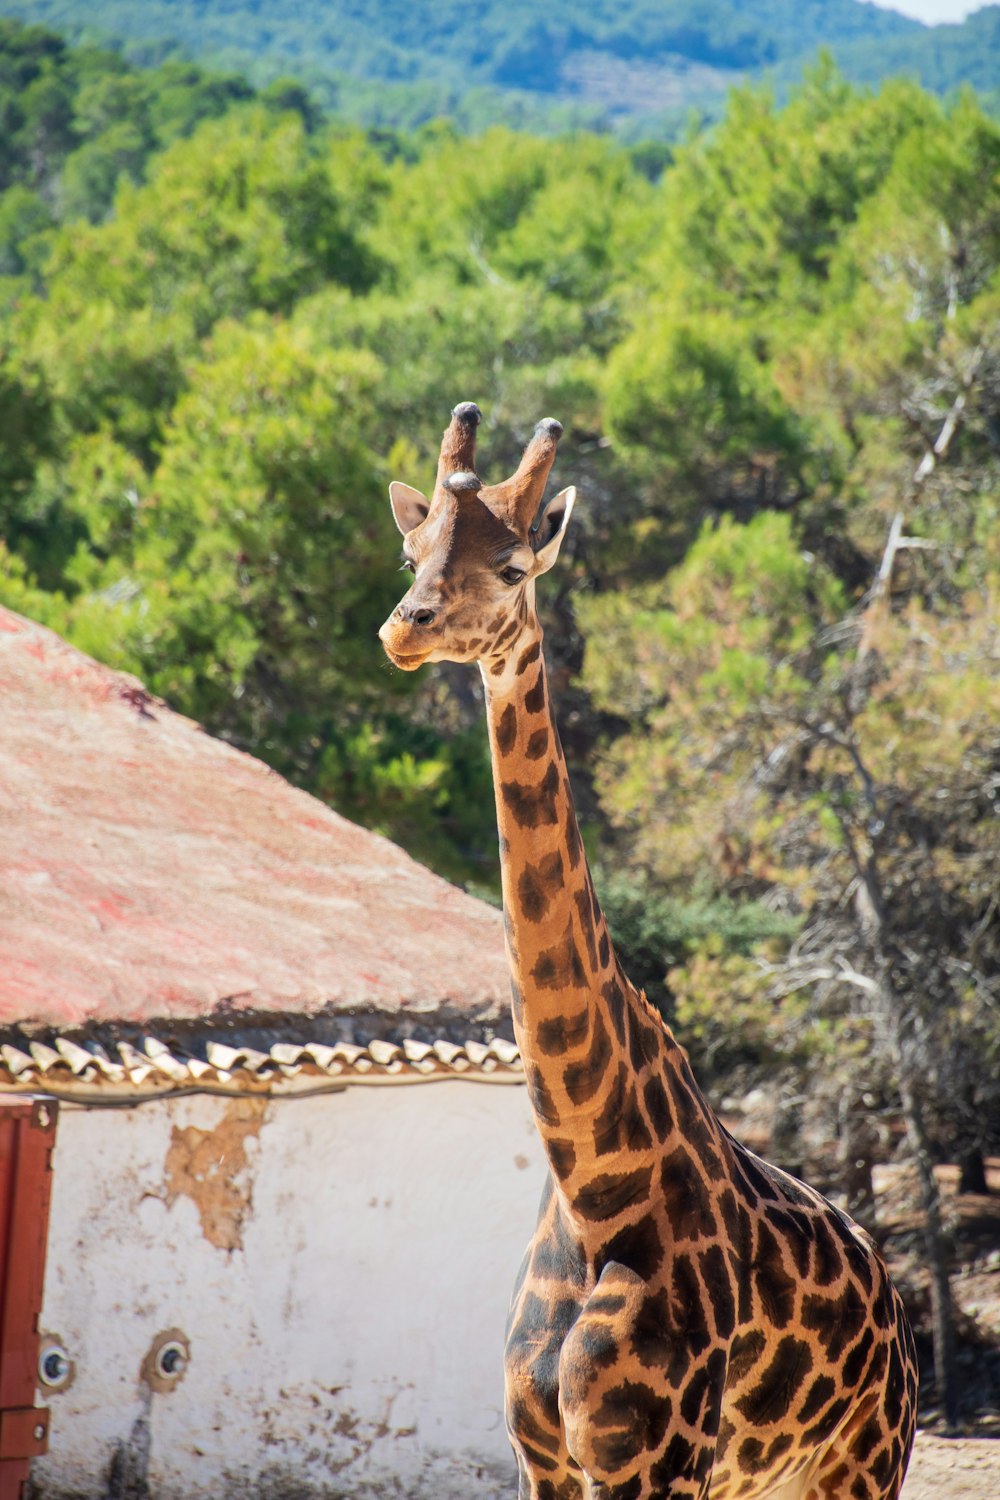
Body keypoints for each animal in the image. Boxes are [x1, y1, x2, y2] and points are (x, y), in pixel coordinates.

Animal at [379, 402, 917, 1500]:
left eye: (512, 566)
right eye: (412, 551)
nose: (403, 627)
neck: (592, 1182)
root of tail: (892, 1299)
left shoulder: (653, 1462)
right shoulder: (543, 1457)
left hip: (860, 1467)